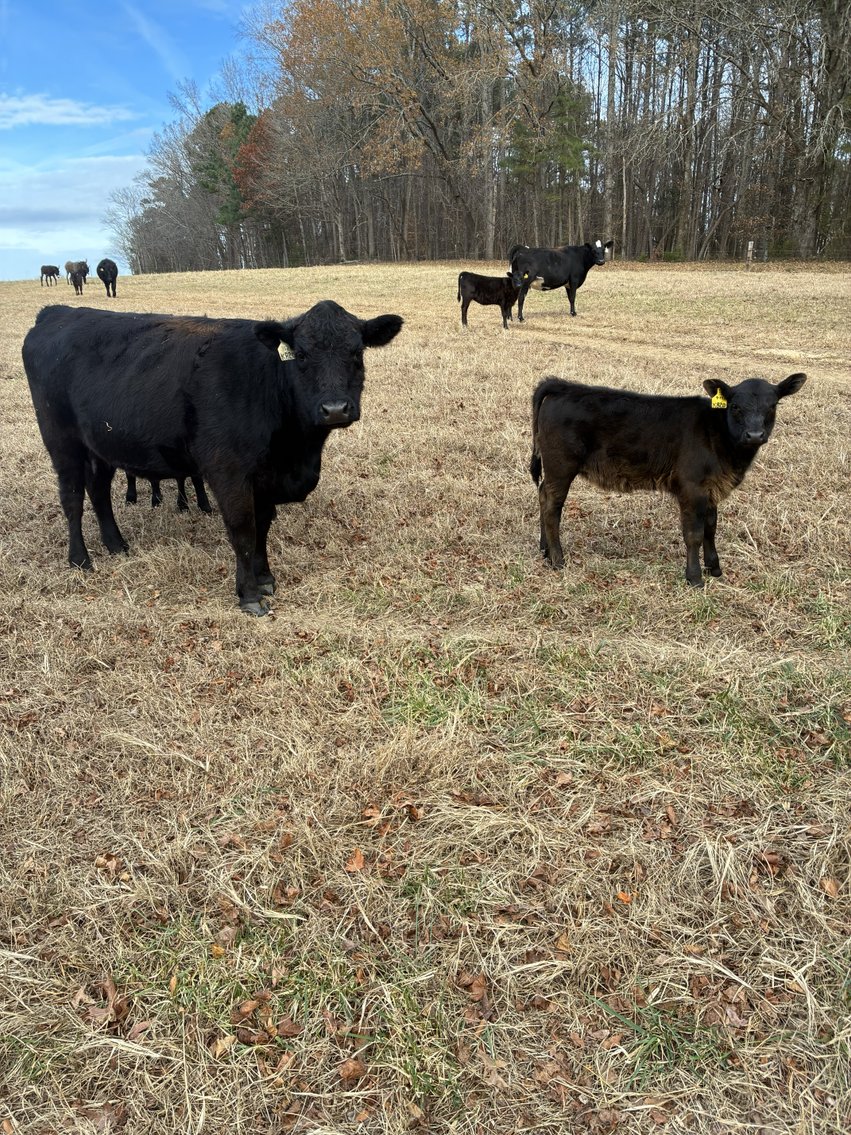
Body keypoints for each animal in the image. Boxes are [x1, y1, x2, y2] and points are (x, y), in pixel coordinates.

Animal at [22, 301, 403, 615]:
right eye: (301, 355)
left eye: (357, 352)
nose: (335, 409)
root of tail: (56, 312)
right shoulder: (228, 471)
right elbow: (244, 531)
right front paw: (249, 595)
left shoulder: (264, 477)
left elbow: (262, 527)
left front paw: (264, 578)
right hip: (62, 441)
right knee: (72, 499)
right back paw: (80, 560)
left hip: (100, 445)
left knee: (99, 492)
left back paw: (116, 545)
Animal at [530, 372, 807, 588]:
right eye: (735, 406)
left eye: (773, 406)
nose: (755, 435)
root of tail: (564, 386)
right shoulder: (692, 488)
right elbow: (694, 533)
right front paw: (695, 577)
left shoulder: (711, 489)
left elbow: (711, 528)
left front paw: (715, 568)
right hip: (561, 466)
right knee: (552, 505)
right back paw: (558, 559)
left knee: (543, 497)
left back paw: (544, 550)